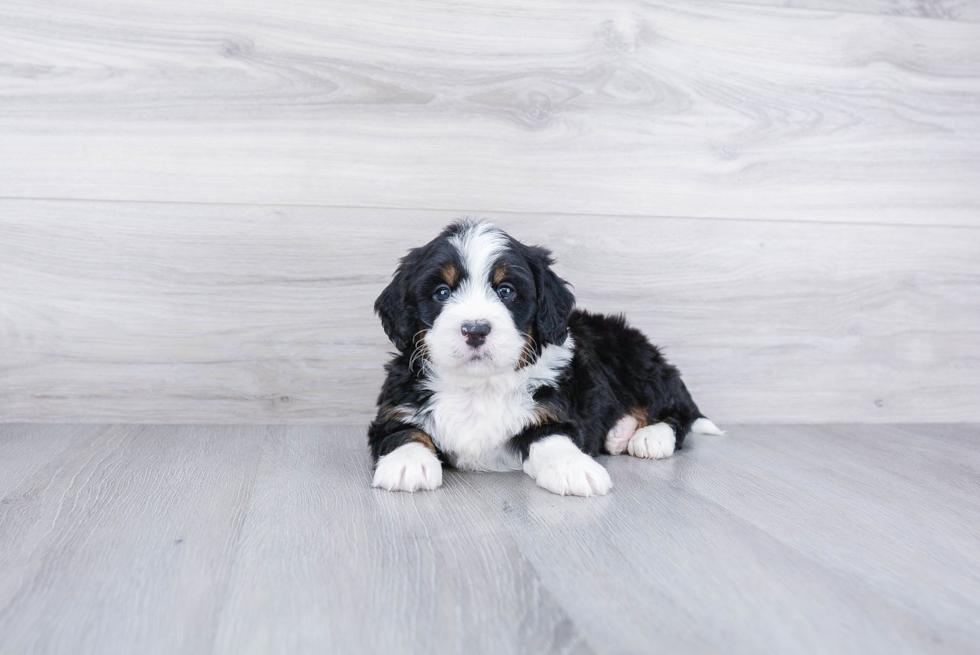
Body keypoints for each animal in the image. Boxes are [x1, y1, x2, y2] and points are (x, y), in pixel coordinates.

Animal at [368, 220, 720, 498]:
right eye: (441, 292)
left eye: (506, 291)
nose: (476, 329)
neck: (479, 386)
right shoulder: (395, 407)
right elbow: (404, 432)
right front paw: (407, 463)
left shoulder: (553, 410)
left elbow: (551, 437)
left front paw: (573, 467)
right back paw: (620, 433)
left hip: (634, 359)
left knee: (678, 410)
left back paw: (649, 437)